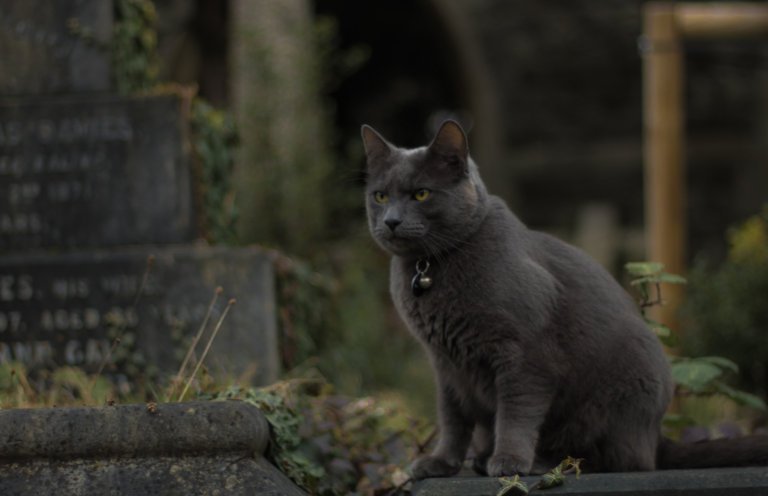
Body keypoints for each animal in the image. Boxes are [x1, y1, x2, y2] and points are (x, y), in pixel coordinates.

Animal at [360, 118, 768, 478]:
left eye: (421, 193)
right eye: (380, 196)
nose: (391, 221)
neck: (429, 266)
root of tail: (656, 438)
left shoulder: (525, 355)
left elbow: (515, 412)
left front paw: (509, 461)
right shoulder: (445, 364)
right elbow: (452, 418)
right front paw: (441, 463)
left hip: (617, 398)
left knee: (618, 459)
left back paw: (539, 462)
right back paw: (482, 459)